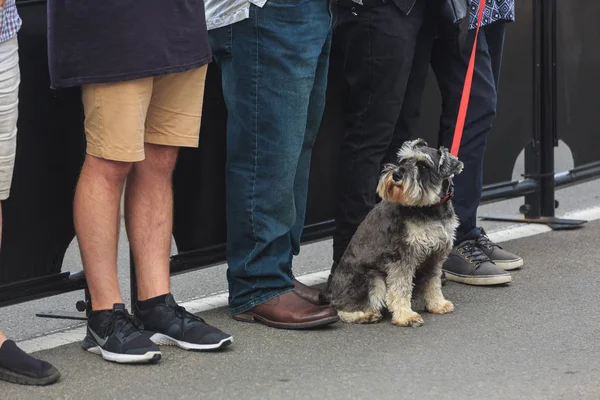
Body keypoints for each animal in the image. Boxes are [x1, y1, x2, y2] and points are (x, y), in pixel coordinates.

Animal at [318, 139, 464, 326]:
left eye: (423, 166)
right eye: (404, 160)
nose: (396, 175)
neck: (429, 209)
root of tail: (330, 292)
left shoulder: (435, 256)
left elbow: (433, 282)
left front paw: (437, 304)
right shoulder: (402, 256)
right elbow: (401, 287)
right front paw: (406, 315)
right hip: (374, 279)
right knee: (340, 309)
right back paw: (365, 315)